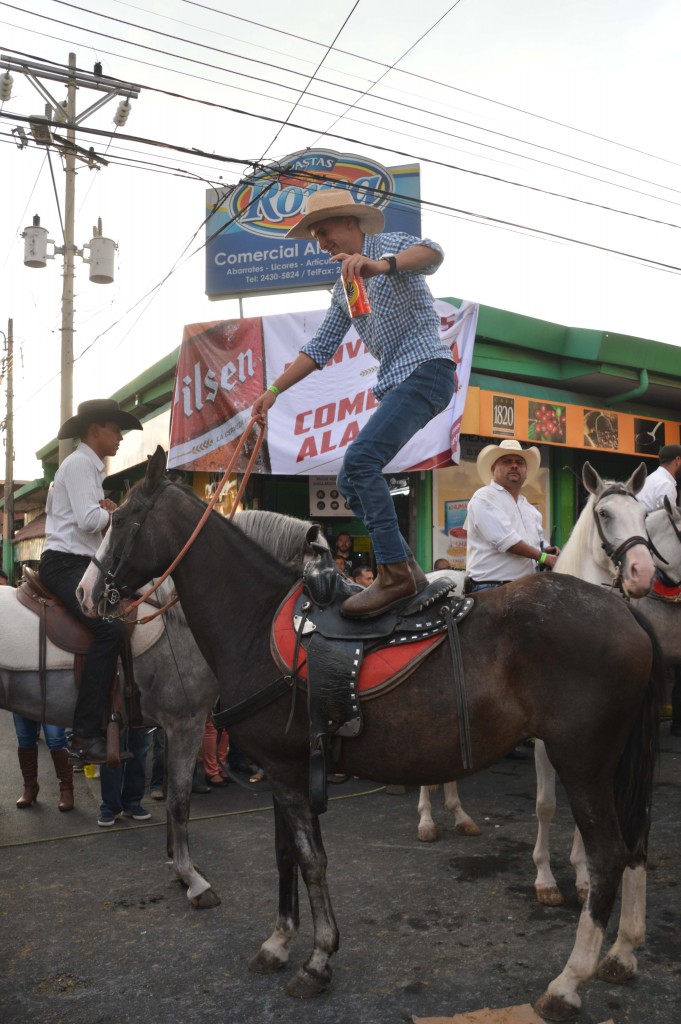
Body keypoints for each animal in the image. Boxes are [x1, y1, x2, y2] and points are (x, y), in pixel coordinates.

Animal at [78, 450, 659, 1024]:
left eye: (121, 521)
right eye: (606, 515)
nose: (87, 592)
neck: (255, 619)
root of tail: (623, 607)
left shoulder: (286, 772)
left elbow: (311, 859)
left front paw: (317, 960)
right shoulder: (284, 768)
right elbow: (285, 855)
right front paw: (279, 943)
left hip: (582, 763)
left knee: (609, 854)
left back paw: (569, 981)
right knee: (634, 844)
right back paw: (622, 953)